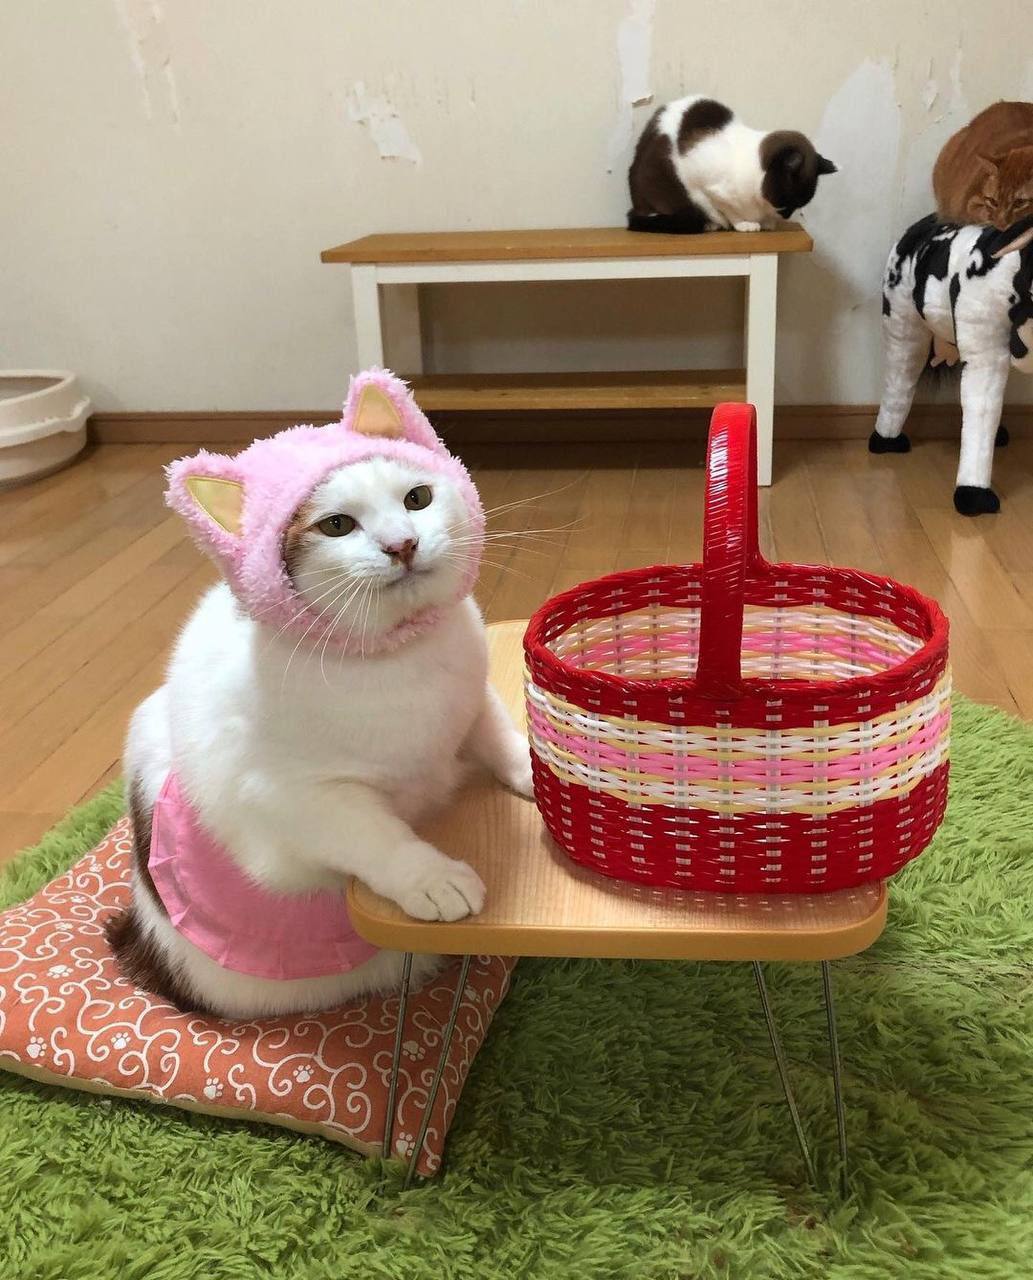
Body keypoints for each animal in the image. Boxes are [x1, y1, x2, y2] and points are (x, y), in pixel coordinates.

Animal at [106, 370, 533, 1020]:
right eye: (337, 526)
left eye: (417, 499)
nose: (402, 544)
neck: (401, 659)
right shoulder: (294, 797)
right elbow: (375, 834)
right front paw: (430, 877)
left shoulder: (472, 694)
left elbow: (498, 733)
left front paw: (537, 766)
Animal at [628, 95, 837, 234]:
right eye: (788, 201)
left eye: (800, 204)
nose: (786, 216)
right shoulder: (705, 188)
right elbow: (727, 210)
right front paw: (744, 224)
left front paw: (767, 222)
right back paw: (710, 225)